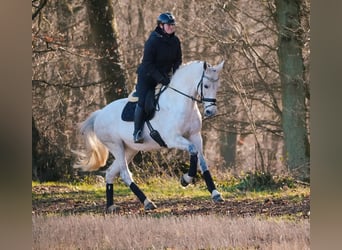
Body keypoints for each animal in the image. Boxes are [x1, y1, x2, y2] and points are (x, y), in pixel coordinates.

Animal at [73, 60, 224, 211]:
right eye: (206, 85)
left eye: (218, 86)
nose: (211, 111)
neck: (179, 103)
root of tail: (99, 114)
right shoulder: (172, 139)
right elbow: (193, 151)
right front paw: (185, 179)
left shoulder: (195, 135)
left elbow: (202, 162)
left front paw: (215, 193)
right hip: (116, 146)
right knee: (125, 174)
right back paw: (147, 202)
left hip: (129, 150)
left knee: (110, 173)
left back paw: (111, 206)